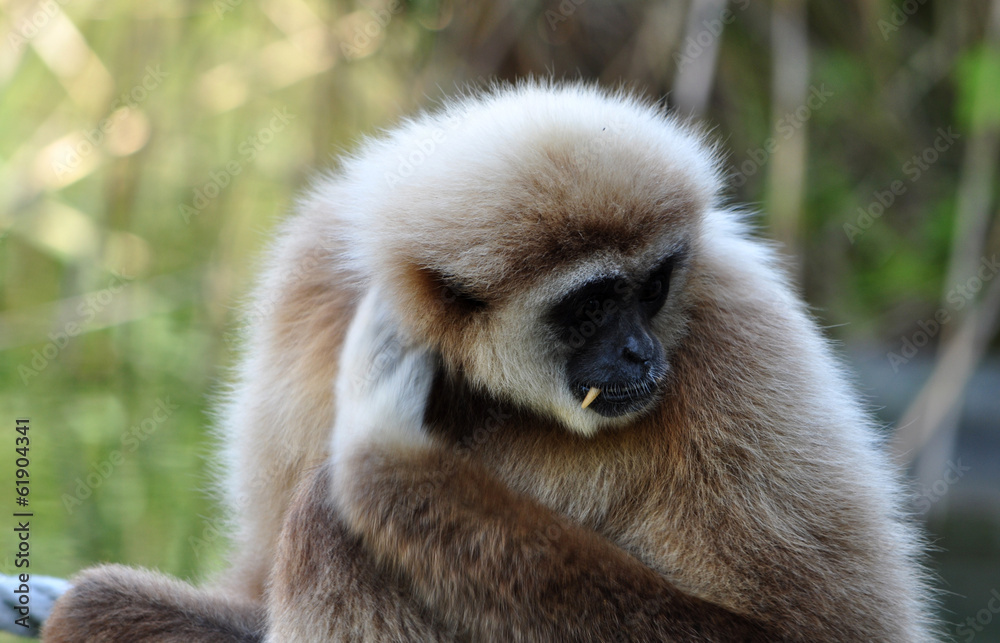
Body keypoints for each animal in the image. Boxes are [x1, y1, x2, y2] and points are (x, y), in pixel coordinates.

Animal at [43, 81, 937, 641]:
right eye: (590, 305)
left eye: (653, 287)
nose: (641, 349)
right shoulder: (307, 301)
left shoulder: (739, 329)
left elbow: (817, 630)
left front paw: (387, 459)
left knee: (331, 520)